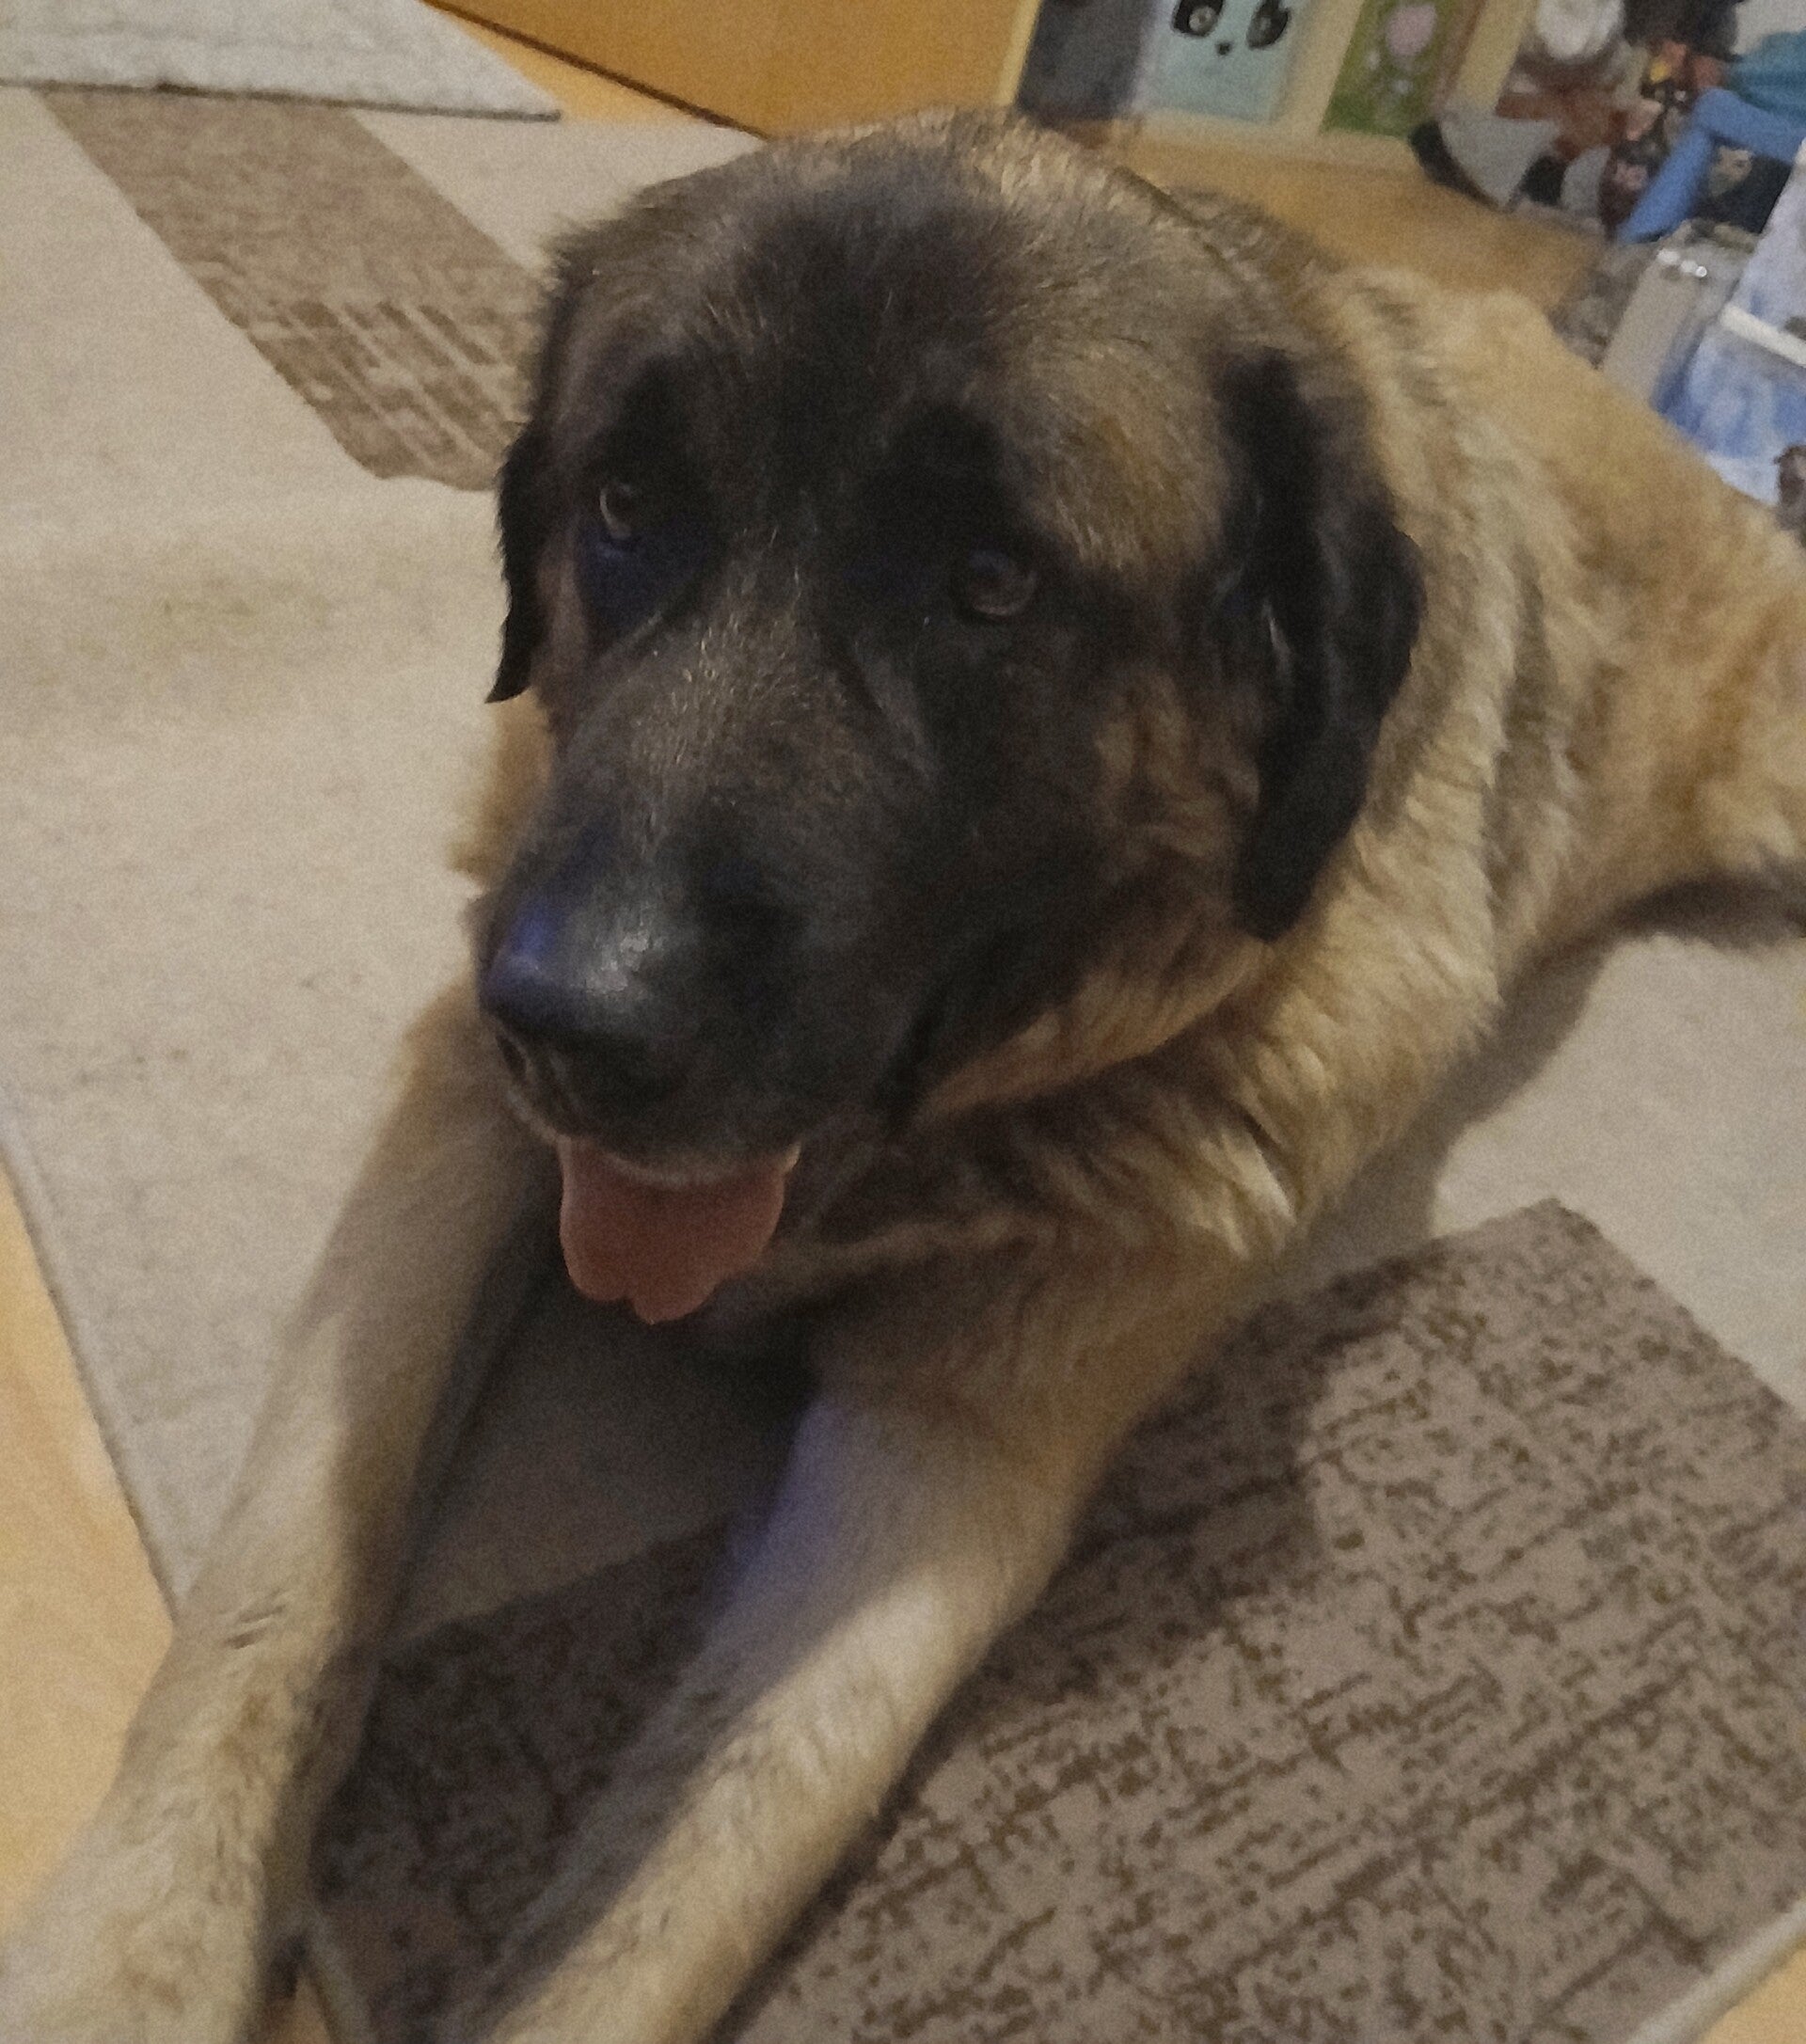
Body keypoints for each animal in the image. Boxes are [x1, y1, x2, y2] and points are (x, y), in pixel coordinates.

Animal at [3, 108, 1803, 2044]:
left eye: (991, 585)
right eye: (623, 506)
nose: (571, 1022)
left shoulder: (940, 1465)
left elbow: (663, 1901)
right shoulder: (461, 1113)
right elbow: (282, 1590)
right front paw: (136, 1954)